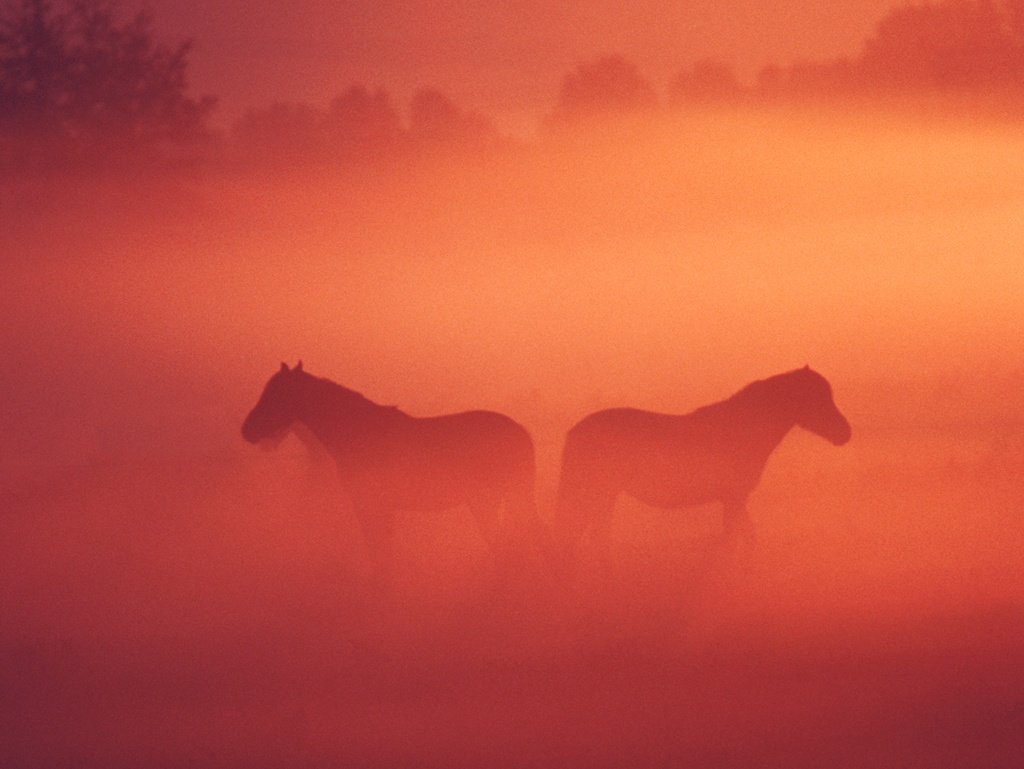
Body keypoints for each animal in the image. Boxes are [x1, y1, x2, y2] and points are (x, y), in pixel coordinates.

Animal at [242, 364, 540, 581]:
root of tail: (520, 432)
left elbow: (380, 555)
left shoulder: (370, 505)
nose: (247, 430)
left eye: (276, 393)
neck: (357, 432)